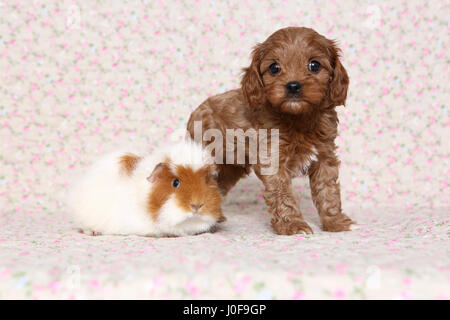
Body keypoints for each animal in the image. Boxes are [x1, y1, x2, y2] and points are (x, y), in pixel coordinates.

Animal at [186, 26, 356, 234]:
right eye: (274, 68)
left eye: (314, 65)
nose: (293, 86)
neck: (297, 118)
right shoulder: (273, 160)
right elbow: (283, 195)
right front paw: (293, 225)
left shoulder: (324, 158)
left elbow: (328, 192)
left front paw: (336, 222)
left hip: (230, 167)